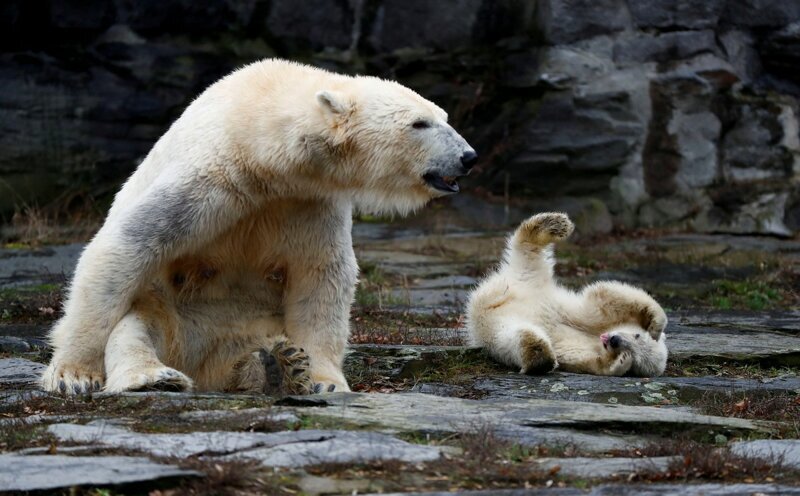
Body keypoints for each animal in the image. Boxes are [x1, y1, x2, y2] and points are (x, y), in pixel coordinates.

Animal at [42, 58, 476, 394]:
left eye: (443, 117)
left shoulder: (306, 201)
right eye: (420, 123)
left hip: (256, 324)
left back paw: (274, 366)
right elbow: (129, 243)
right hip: (172, 313)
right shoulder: (209, 177)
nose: (469, 156)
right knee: (137, 329)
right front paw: (72, 375)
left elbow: (321, 275)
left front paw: (323, 380)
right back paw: (156, 377)